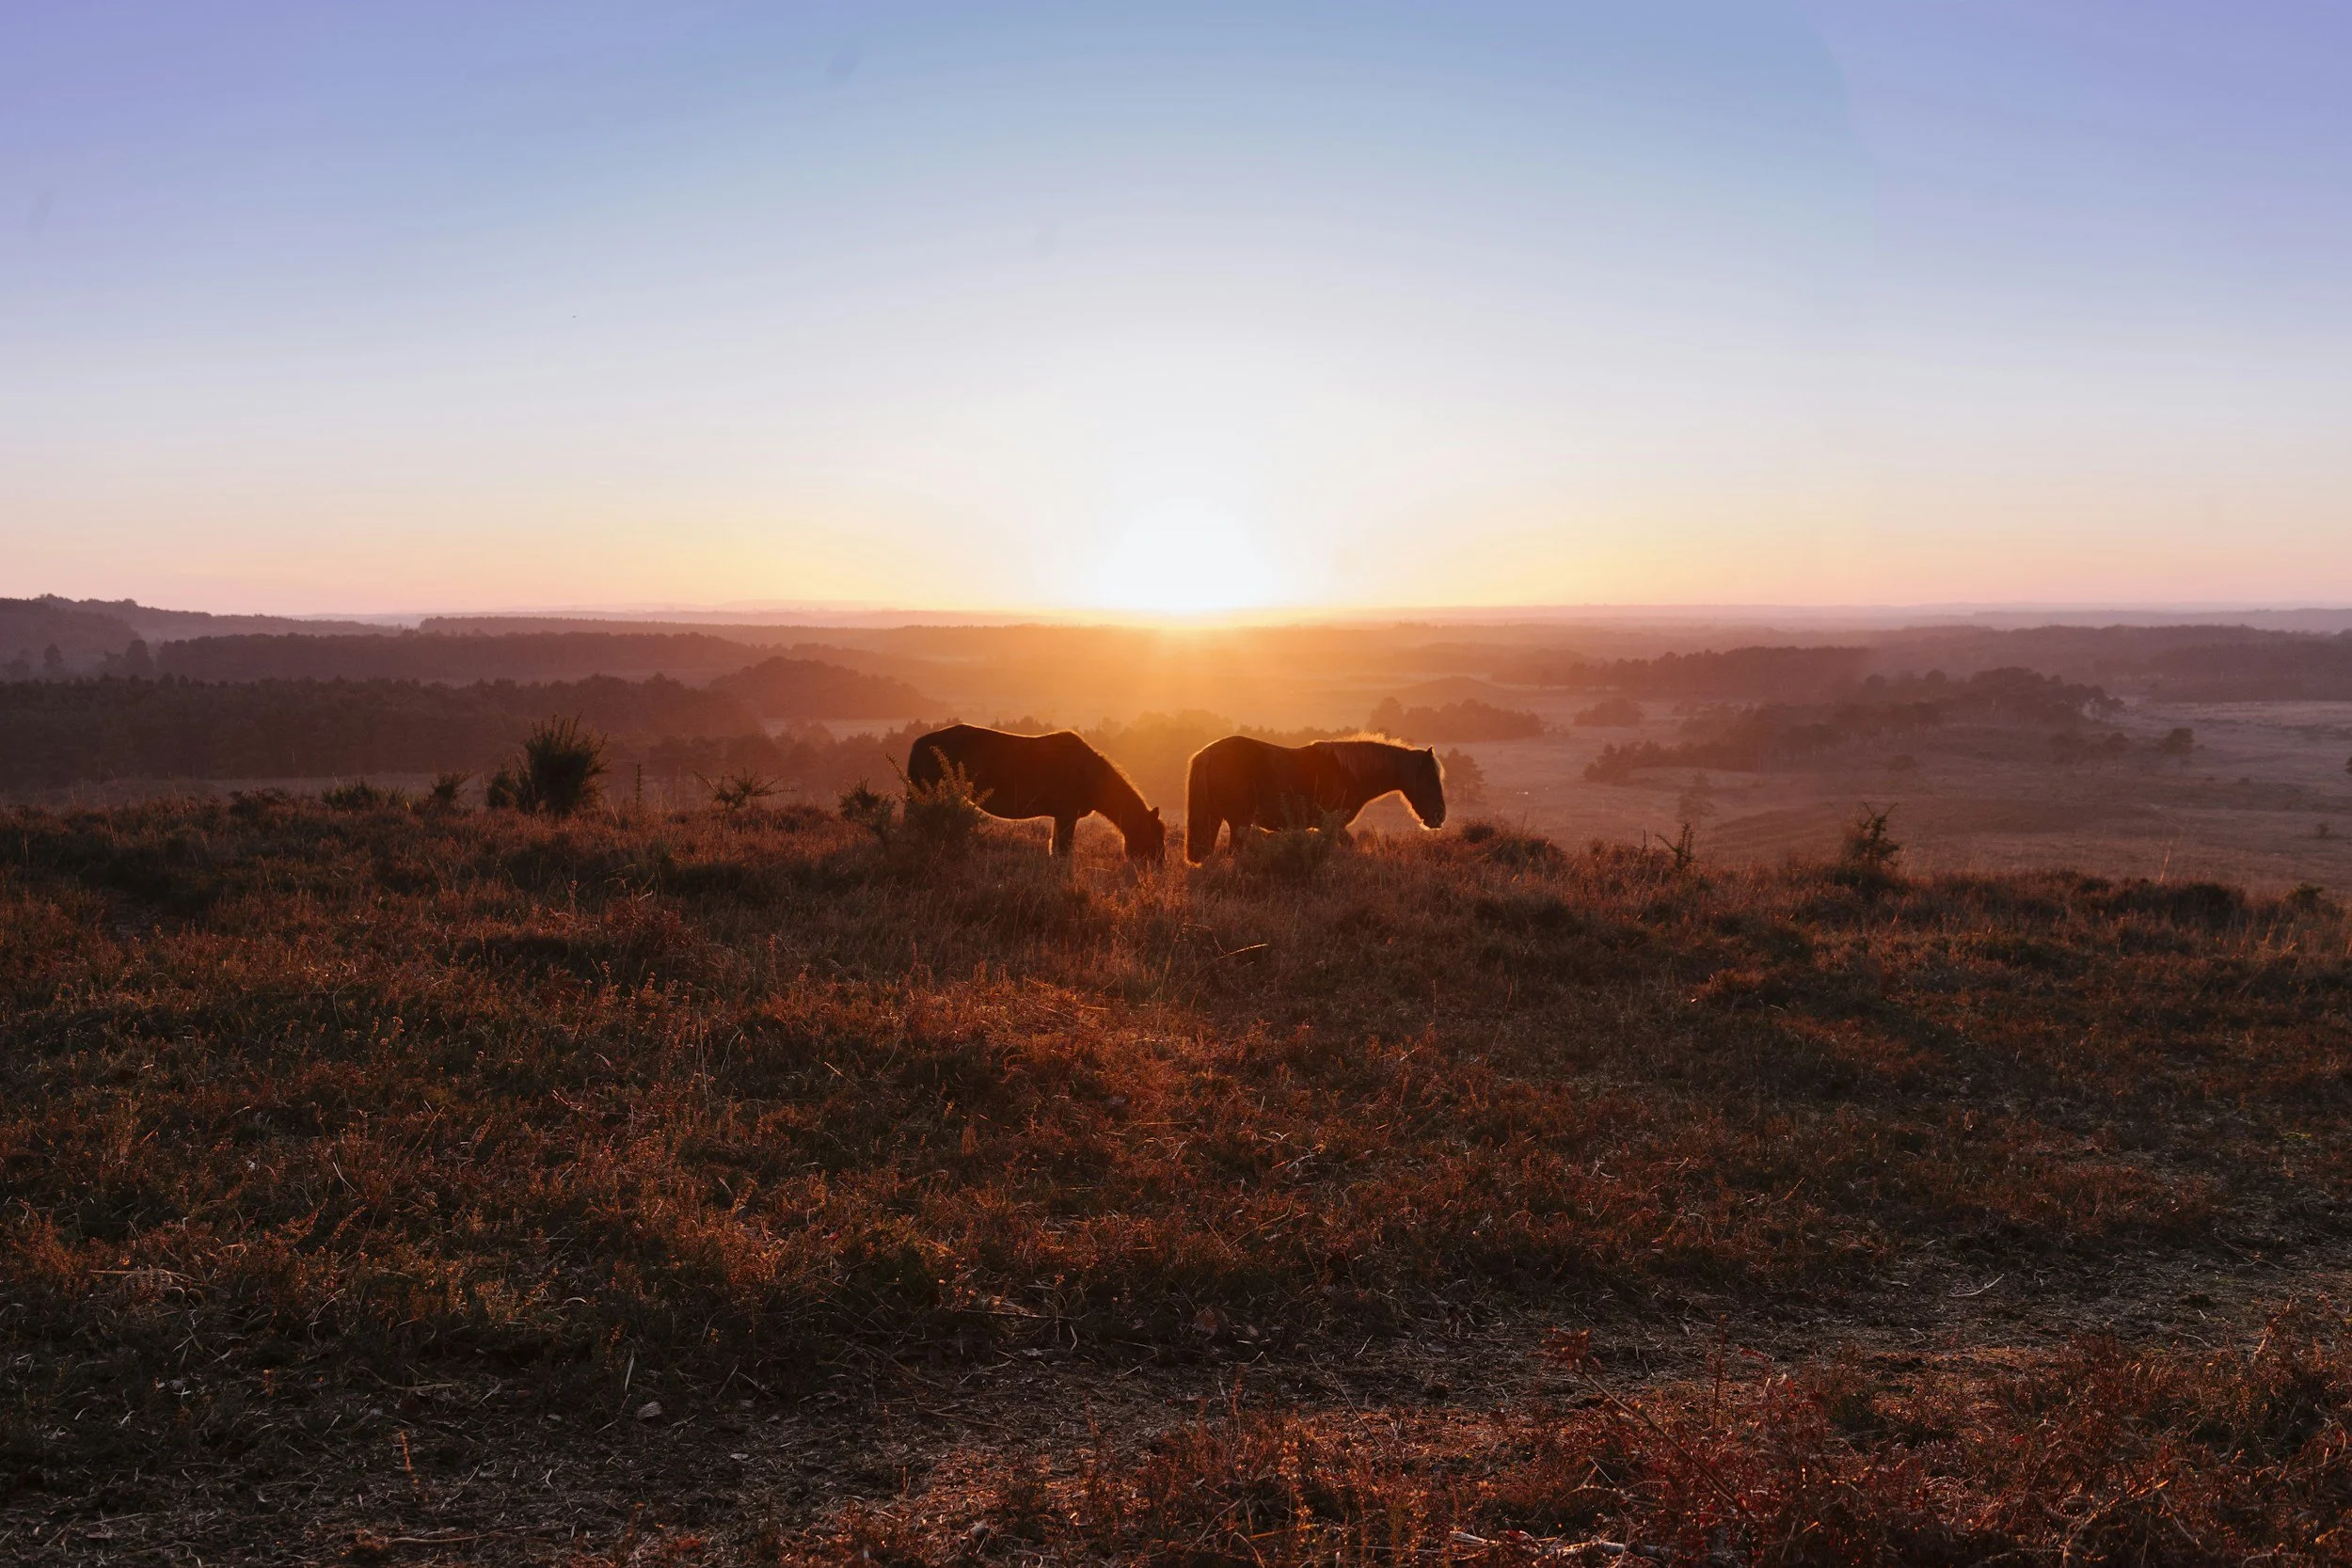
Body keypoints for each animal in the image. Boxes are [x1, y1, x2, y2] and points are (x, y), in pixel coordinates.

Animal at [906, 724, 1166, 862]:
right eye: (1155, 837)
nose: (1159, 868)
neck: (1091, 775)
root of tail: (920, 742)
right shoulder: (1067, 815)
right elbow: (1063, 850)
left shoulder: (1061, 817)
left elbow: (1056, 848)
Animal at [1183, 736, 1445, 863]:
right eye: (1429, 779)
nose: (1438, 816)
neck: (1348, 772)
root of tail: (1207, 753)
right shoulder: (1333, 824)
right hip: (1239, 821)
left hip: (1216, 818)